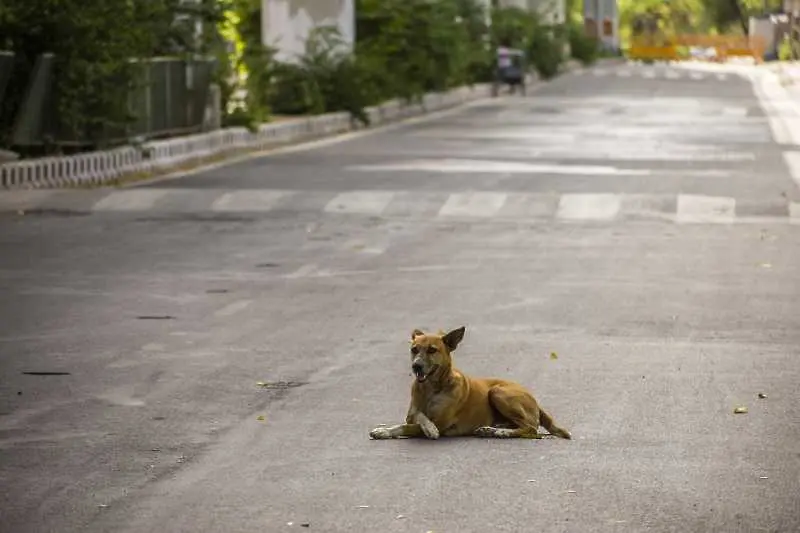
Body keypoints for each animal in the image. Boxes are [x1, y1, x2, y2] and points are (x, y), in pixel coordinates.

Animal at [372, 326, 572, 438]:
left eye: (432, 350)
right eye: (414, 349)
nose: (416, 367)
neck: (432, 389)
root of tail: (534, 399)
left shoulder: (442, 423)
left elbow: (409, 426)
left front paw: (430, 430)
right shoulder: (412, 412)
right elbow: (416, 416)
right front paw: (383, 430)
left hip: (498, 392)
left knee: (530, 428)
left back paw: (500, 432)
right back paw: (493, 428)